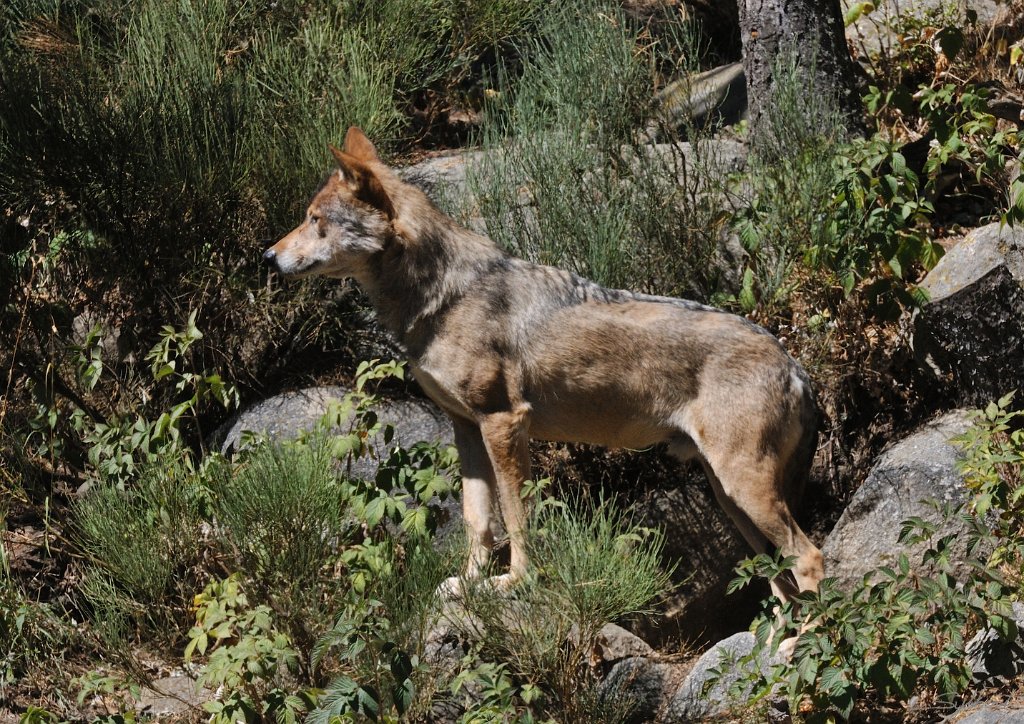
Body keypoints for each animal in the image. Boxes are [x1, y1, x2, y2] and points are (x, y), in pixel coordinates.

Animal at [263, 127, 825, 604]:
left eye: (314, 220)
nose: (267, 257)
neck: (440, 297)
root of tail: (793, 362)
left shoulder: (505, 424)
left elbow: (516, 517)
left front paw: (515, 582)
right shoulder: (466, 428)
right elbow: (476, 518)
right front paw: (469, 583)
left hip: (743, 489)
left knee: (810, 557)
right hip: (731, 499)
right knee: (779, 575)